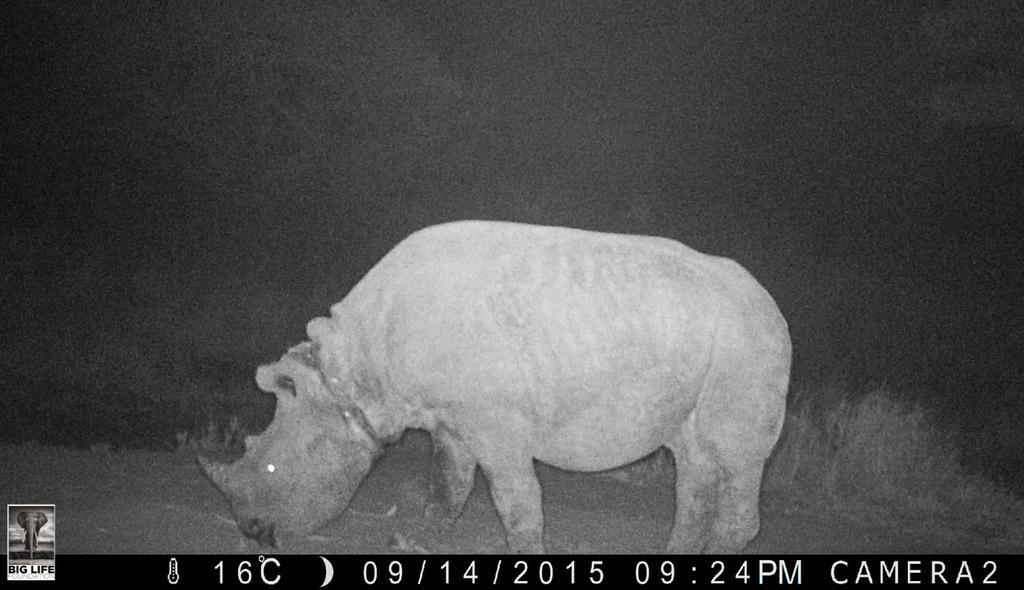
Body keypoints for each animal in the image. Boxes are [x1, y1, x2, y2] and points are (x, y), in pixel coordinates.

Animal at [199, 220, 791, 553]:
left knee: (736, 457)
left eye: (271, 470)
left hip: (750, 340)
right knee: (692, 457)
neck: (353, 374)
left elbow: (514, 500)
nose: (252, 532)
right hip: (708, 341)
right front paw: (417, 543)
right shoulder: (449, 418)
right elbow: (447, 487)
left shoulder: (493, 421)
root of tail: (770, 300)